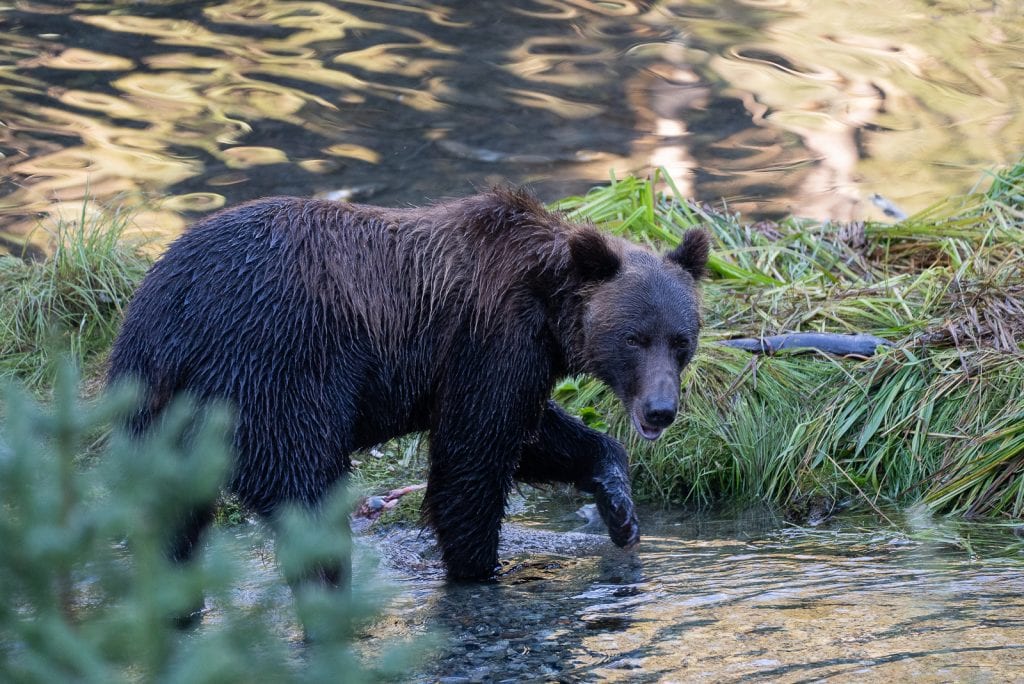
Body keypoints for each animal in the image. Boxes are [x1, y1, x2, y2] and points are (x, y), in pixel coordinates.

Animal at [107, 188, 710, 583]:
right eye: (634, 338)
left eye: (681, 339)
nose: (660, 410)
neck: (548, 306)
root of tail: (169, 314)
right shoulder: (489, 340)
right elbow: (471, 462)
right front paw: (481, 568)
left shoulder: (499, 365)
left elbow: (530, 432)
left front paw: (620, 508)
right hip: (273, 371)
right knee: (308, 497)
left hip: (159, 414)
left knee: (170, 526)